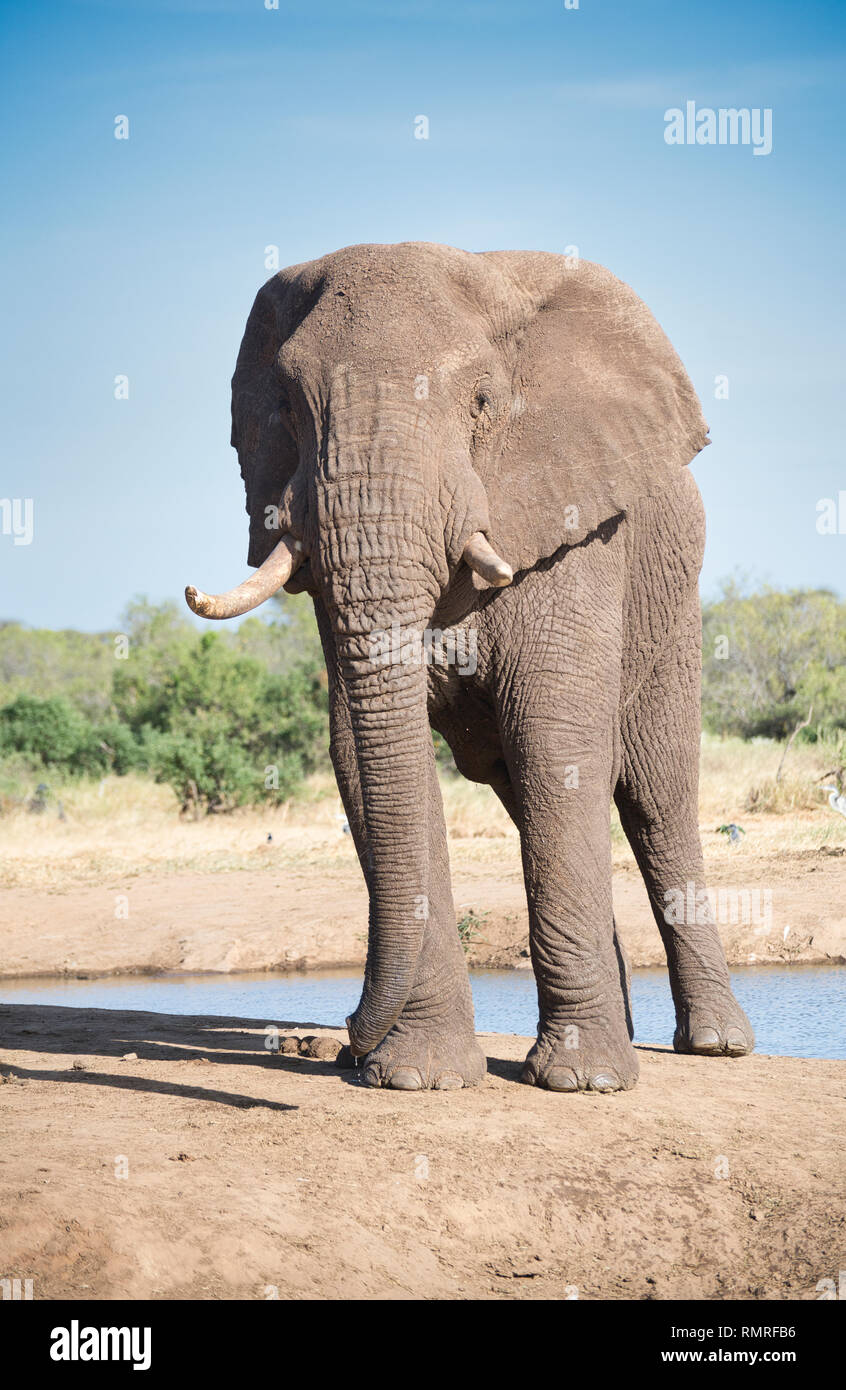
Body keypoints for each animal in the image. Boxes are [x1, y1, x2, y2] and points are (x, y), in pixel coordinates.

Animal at [186, 240, 754, 1093]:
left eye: (483, 401)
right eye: (285, 405)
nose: (344, 1034)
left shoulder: (577, 523)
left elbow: (556, 743)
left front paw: (584, 1084)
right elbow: (366, 756)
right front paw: (415, 1075)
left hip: (672, 608)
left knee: (657, 798)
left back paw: (716, 1044)